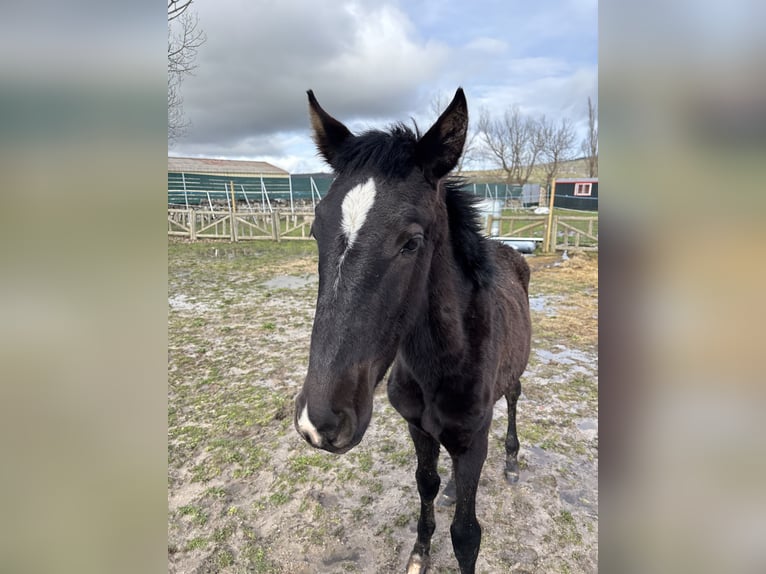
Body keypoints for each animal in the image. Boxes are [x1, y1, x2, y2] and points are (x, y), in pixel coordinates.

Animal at [296, 88, 536, 572]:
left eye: (412, 242)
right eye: (315, 230)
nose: (320, 421)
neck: (440, 362)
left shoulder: (472, 439)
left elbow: (467, 535)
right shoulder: (419, 430)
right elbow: (426, 484)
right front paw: (420, 552)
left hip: (512, 380)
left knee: (514, 399)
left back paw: (512, 461)